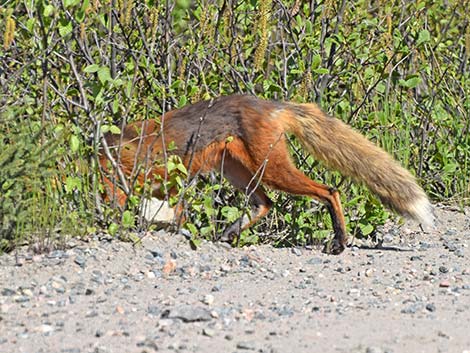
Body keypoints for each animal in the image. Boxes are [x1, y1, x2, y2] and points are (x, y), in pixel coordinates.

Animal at [101, 93, 436, 253]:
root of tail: (272, 104)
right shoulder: (170, 187)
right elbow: (177, 215)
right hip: (241, 173)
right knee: (265, 203)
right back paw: (230, 233)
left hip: (272, 170)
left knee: (329, 191)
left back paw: (340, 242)